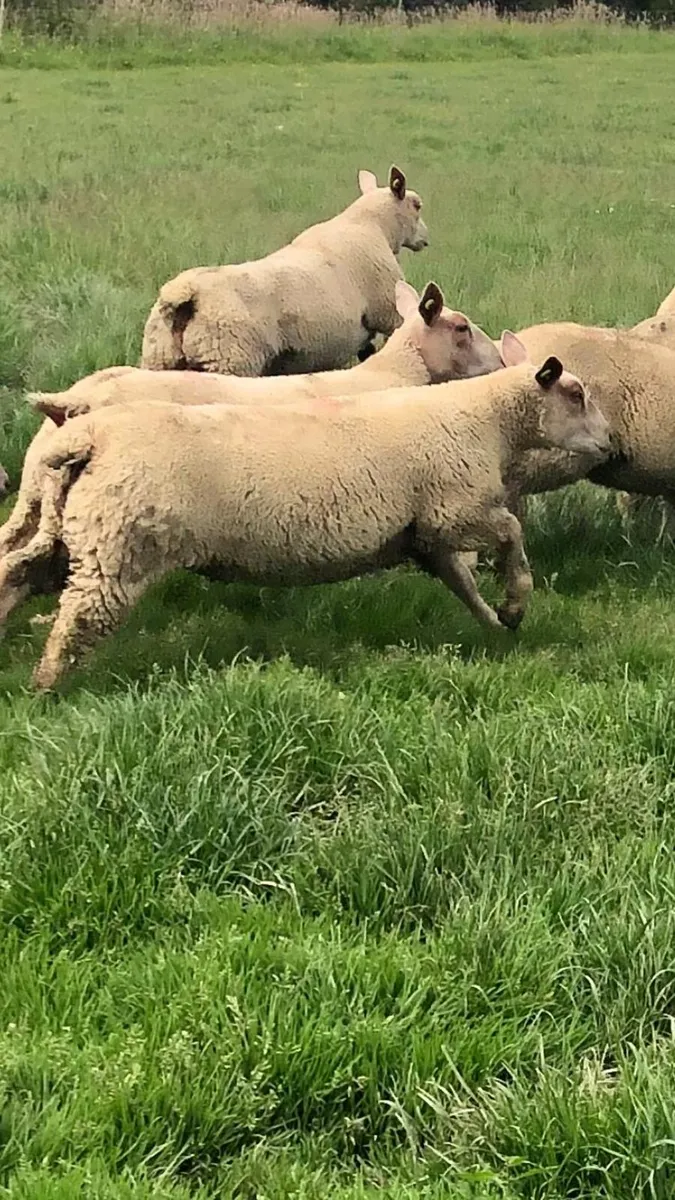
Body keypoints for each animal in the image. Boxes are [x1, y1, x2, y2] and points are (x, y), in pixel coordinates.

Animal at [0, 336, 610, 690]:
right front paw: (516, 602)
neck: (486, 420)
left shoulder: (425, 536)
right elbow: (511, 532)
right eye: (576, 394)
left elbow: (461, 584)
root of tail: (87, 434)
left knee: (17, 573)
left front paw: (497, 623)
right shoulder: (452, 511)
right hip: (119, 546)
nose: (610, 444)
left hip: (75, 532)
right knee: (77, 617)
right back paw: (45, 689)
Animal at [140, 165, 429, 377]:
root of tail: (185, 294)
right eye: (417, 205)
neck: (371, 225)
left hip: (159, 359)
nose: (425, 239)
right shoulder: (388, 313)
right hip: (229, 361)